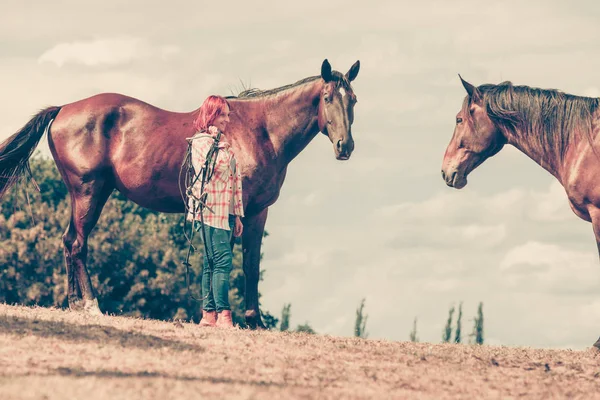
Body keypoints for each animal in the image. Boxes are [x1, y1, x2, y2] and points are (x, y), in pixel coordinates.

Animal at [0, 59, 360, 328]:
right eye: (327, 97)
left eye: (353, 99)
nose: (345, 147)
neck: (261, 131)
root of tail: (62, 109)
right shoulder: (233, 211)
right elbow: (228, 261)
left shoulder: (257, 211)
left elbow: (251, 262)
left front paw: (254, 322)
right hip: (88, 191)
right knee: (77, 244)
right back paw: (90, 305)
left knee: (68, 241)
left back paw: (75, 303)